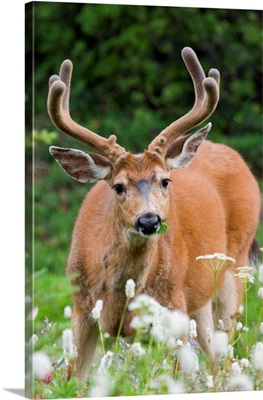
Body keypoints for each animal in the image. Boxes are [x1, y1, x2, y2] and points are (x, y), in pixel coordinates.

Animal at [47, 47, 262, 378]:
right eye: (118, 186)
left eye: (165, 180)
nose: (149, 220)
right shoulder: (82, 308)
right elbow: (73, 378)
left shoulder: (173, 306)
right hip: (199, 302)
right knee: (215, 358)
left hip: (233, 269)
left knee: (226, 358)